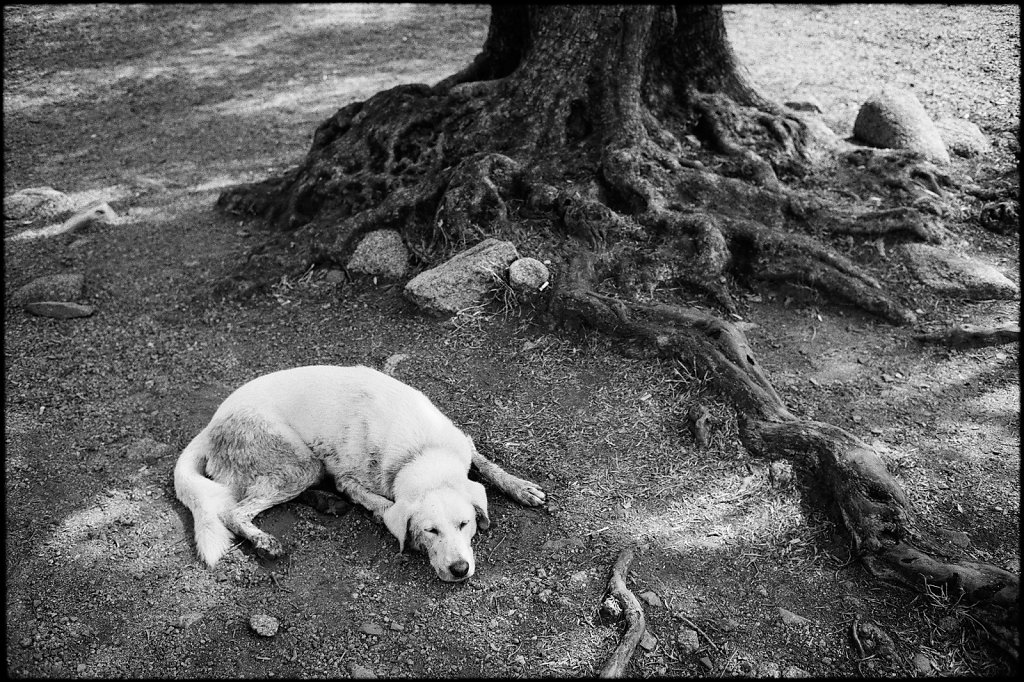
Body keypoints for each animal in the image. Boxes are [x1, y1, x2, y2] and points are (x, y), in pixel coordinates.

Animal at [176, 366, 548, 577]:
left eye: (465, 524)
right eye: (430, 531)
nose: (459, 570)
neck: (422, 453)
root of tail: (210, 426)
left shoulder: (462, 444)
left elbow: (485, 464)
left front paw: (520, 486)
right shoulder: (350, 480)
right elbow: (383, 506)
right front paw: (390, 521)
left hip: (302, 469)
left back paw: (326, 503)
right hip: (298, 464)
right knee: (233, 512)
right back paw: (265, 541)